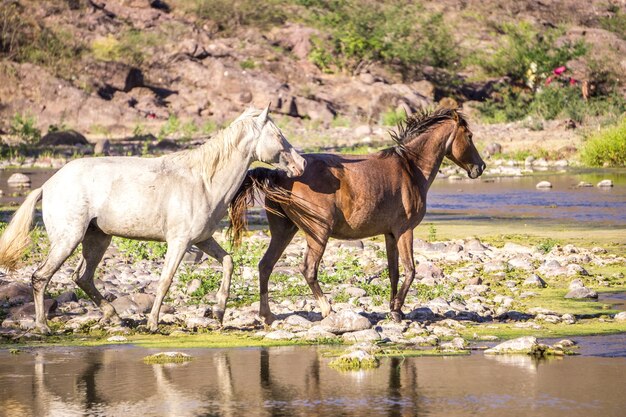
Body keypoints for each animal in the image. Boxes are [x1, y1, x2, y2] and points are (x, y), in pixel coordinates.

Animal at [0, 105, 304, 334]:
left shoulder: (203, 240)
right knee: (41, 276)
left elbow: (228, 261)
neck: (203, 182)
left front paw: (218, 313)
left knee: (82, 277)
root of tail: (48, 184)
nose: (300, 165)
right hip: (68, 239)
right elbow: (166, 280)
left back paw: (115, 317)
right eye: (279, 136)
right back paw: (43, 327)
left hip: (97, 238)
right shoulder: (179, 242)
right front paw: (153, 323)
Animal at [232, 106, 486, 322]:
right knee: (308, 269)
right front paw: (397, 311)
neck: (410, 168)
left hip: (284, 231)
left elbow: (394, 272)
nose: (480, 167)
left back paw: (266, 315)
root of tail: (280, 174)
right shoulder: (405, 231)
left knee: (265, 266)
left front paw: (393, 309)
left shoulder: (390, 234)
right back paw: (327, 310)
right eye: (470, 136)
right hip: (318, 233)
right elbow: (410, 270)